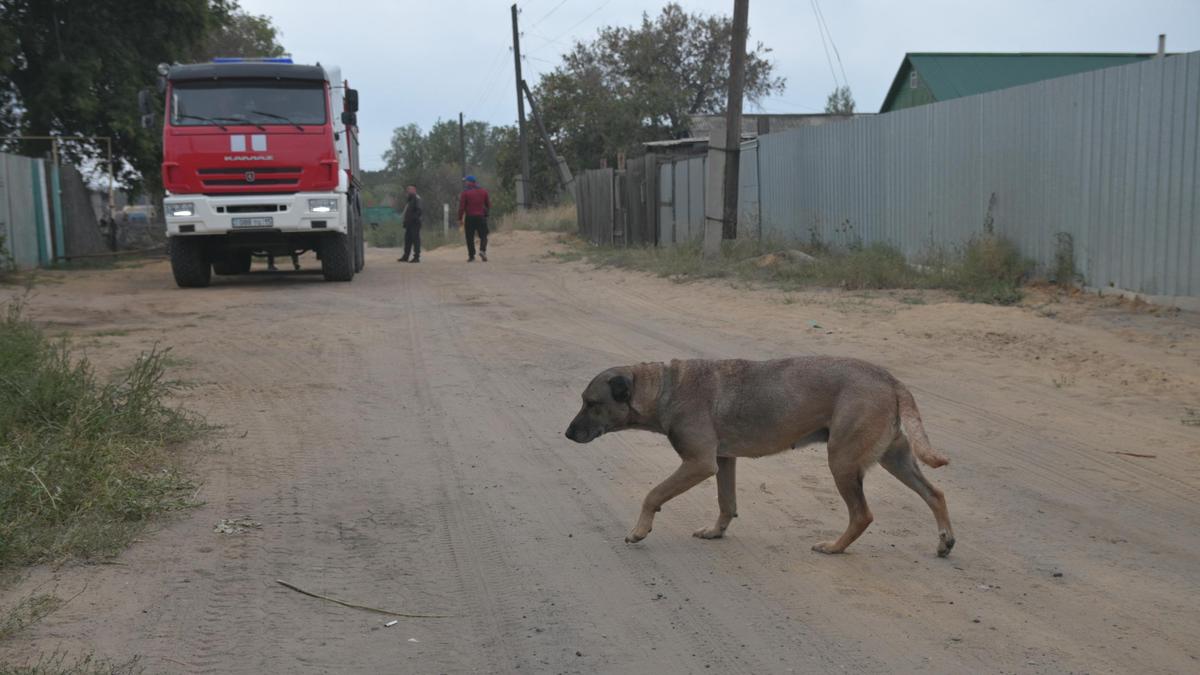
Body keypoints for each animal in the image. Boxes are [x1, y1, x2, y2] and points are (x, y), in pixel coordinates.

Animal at [564, 355, 955, 554]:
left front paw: (639, 530)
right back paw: (945, 541)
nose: (567, 434)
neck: (663, 388)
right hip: (895, 458)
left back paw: (834, 547)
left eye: (591, 403)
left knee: (862, 515)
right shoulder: (722, 461)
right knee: (935, 493)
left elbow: (653, 494)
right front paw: (716, 532)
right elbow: (726, 503)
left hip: (842, 461)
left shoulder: (698, 463)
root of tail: (890, 379)